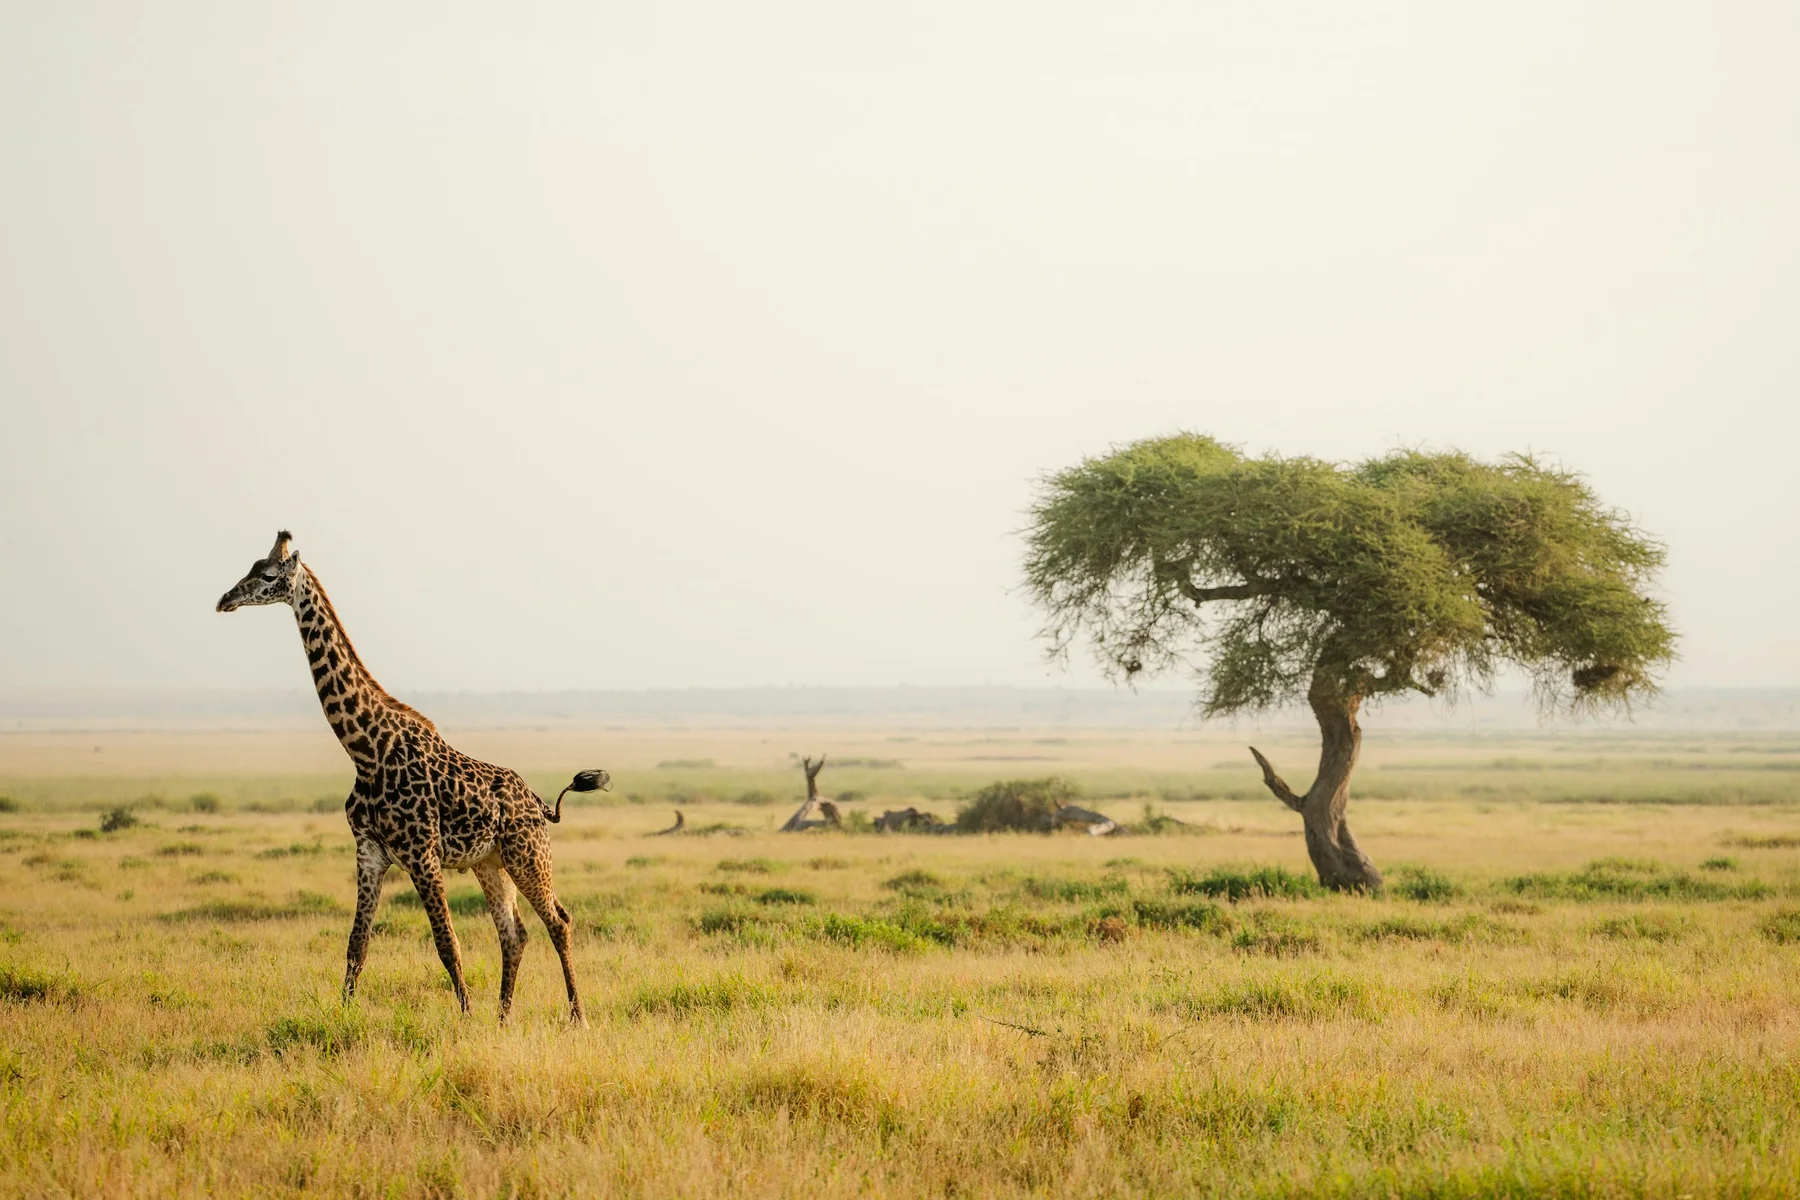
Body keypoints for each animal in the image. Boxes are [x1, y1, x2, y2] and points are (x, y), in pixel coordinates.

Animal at [216, 531, 603, 1025]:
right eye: (250, 567)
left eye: (267, 575)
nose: (225, 600)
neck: (366, 751)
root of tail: (537, 802)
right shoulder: (369, 854)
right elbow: (356, 946)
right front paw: (343, 1015)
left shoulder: (423, 855)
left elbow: (447, 944)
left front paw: (465, 1018)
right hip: (489, 862)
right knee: (514, 933)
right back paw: (503, 1019)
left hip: (528, 855)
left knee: (559, 921)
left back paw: (576, 1016)